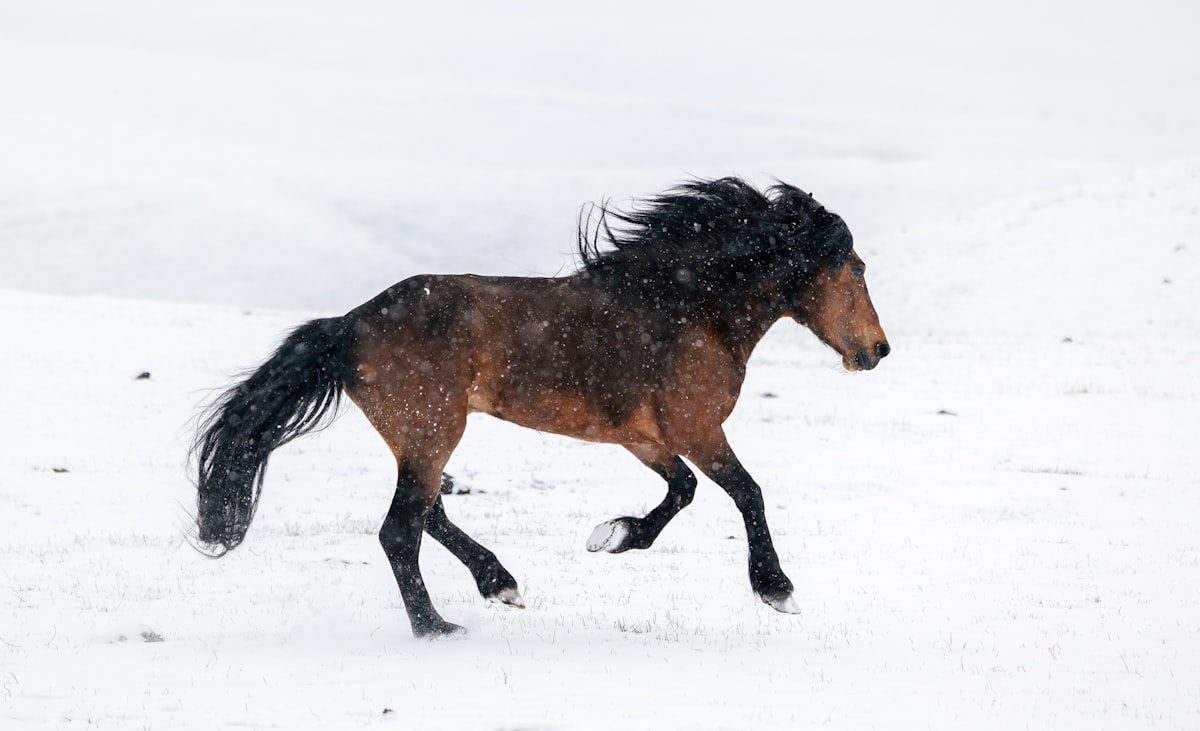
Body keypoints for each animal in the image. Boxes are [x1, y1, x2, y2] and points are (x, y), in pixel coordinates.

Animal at [192, 177, 890, 638]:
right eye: (855, 268)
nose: (878, 351)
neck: (689, 307)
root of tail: (349, 326)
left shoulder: (646, 436)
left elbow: (683, 491)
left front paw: (614, 537)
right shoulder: (698, 428)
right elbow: (747, 492)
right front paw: (778, 591)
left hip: (420, 439)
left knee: (430, 512)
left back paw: (499, 584)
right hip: (434, 431)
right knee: (399, 529)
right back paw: (436, 626)